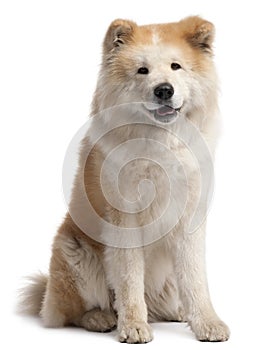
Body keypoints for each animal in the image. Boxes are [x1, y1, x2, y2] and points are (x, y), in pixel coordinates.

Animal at [20, 15, 230, 342]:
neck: (159, 143)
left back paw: (175, 312)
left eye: (176, 66)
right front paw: (133, 327)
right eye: (142, 70)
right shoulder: (124, 222)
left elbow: (195, 279)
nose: (164, 90)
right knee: (73, 312)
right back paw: (102, 318)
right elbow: (130, 281)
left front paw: (207, 323)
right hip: (75, 252)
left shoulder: (190, 220)